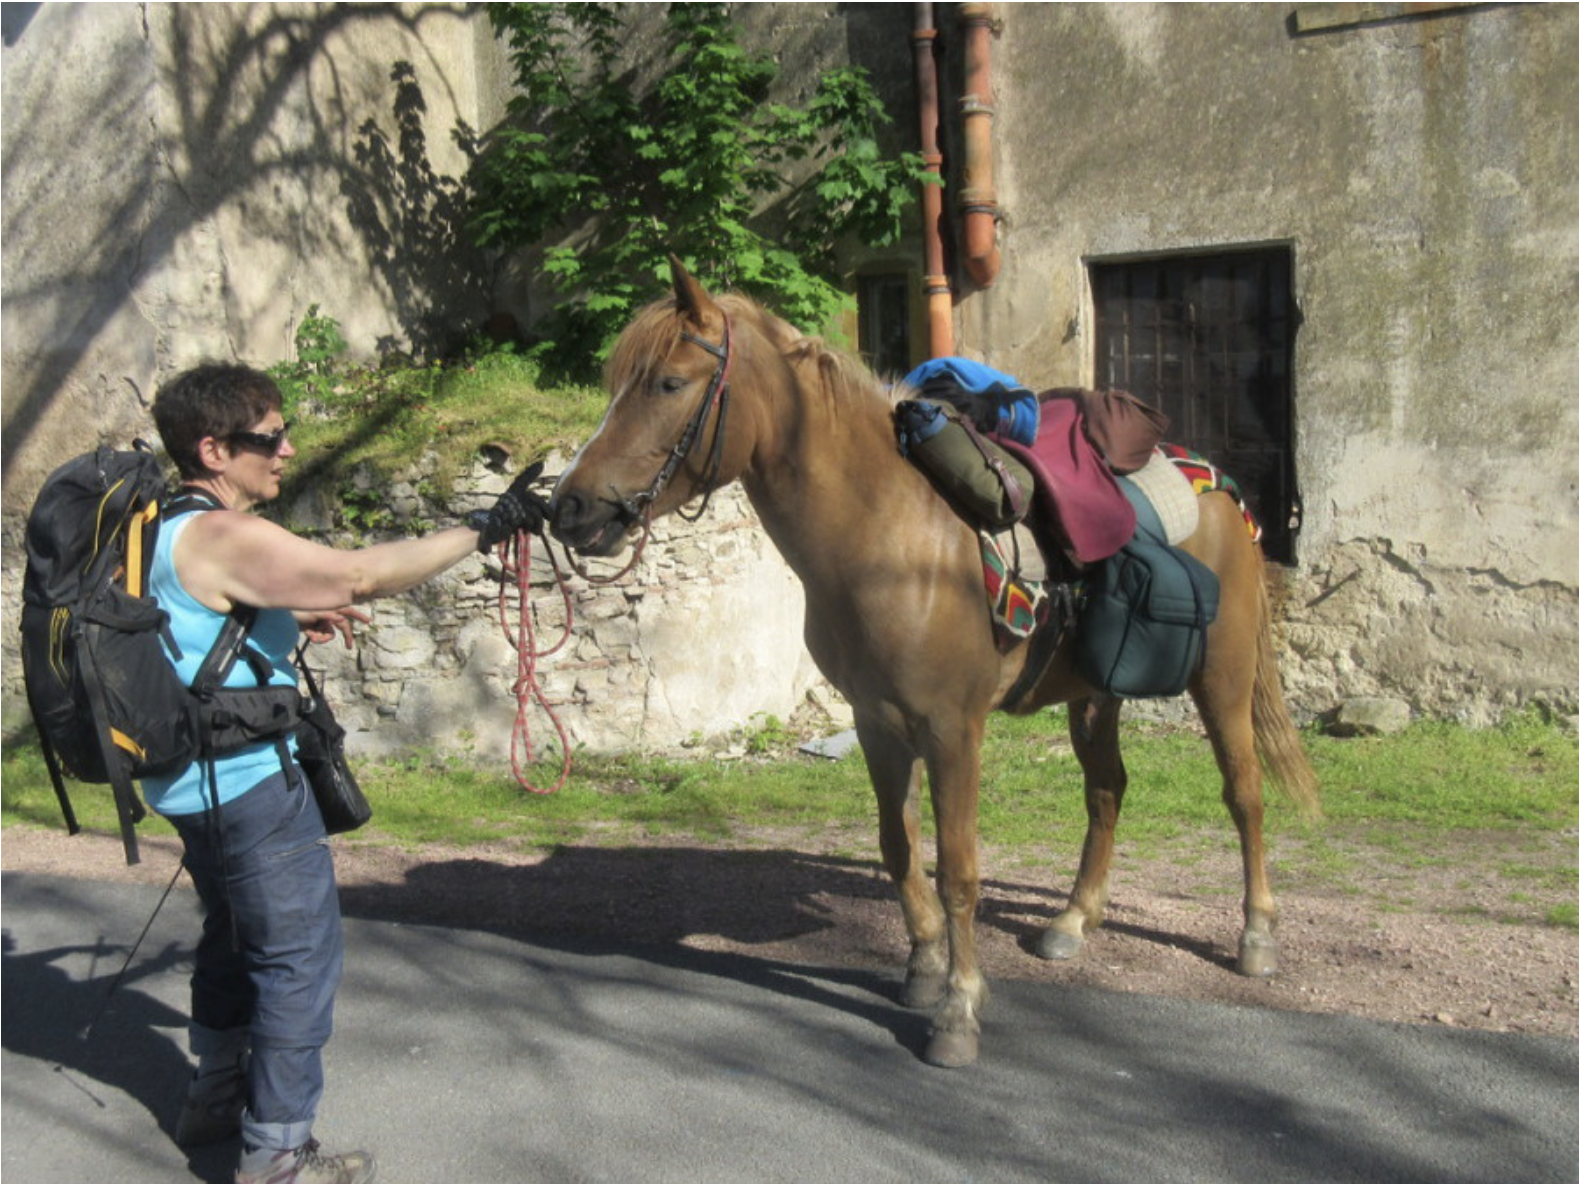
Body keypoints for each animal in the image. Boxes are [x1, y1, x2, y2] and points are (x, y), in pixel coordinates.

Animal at [550, 261, 1316, 1070]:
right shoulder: (877, 724)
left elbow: (958, 872)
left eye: (668, 383)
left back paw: (1256, 935)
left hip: (1223, 679)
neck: (889, 540)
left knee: (1244, 794)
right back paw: (1074, 921)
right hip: (1094, 695)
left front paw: (958, 1009)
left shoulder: (953, 732)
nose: (568, 509)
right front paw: (922, 966)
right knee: (1107, 791)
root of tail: (1219, 486)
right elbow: (899, 847)